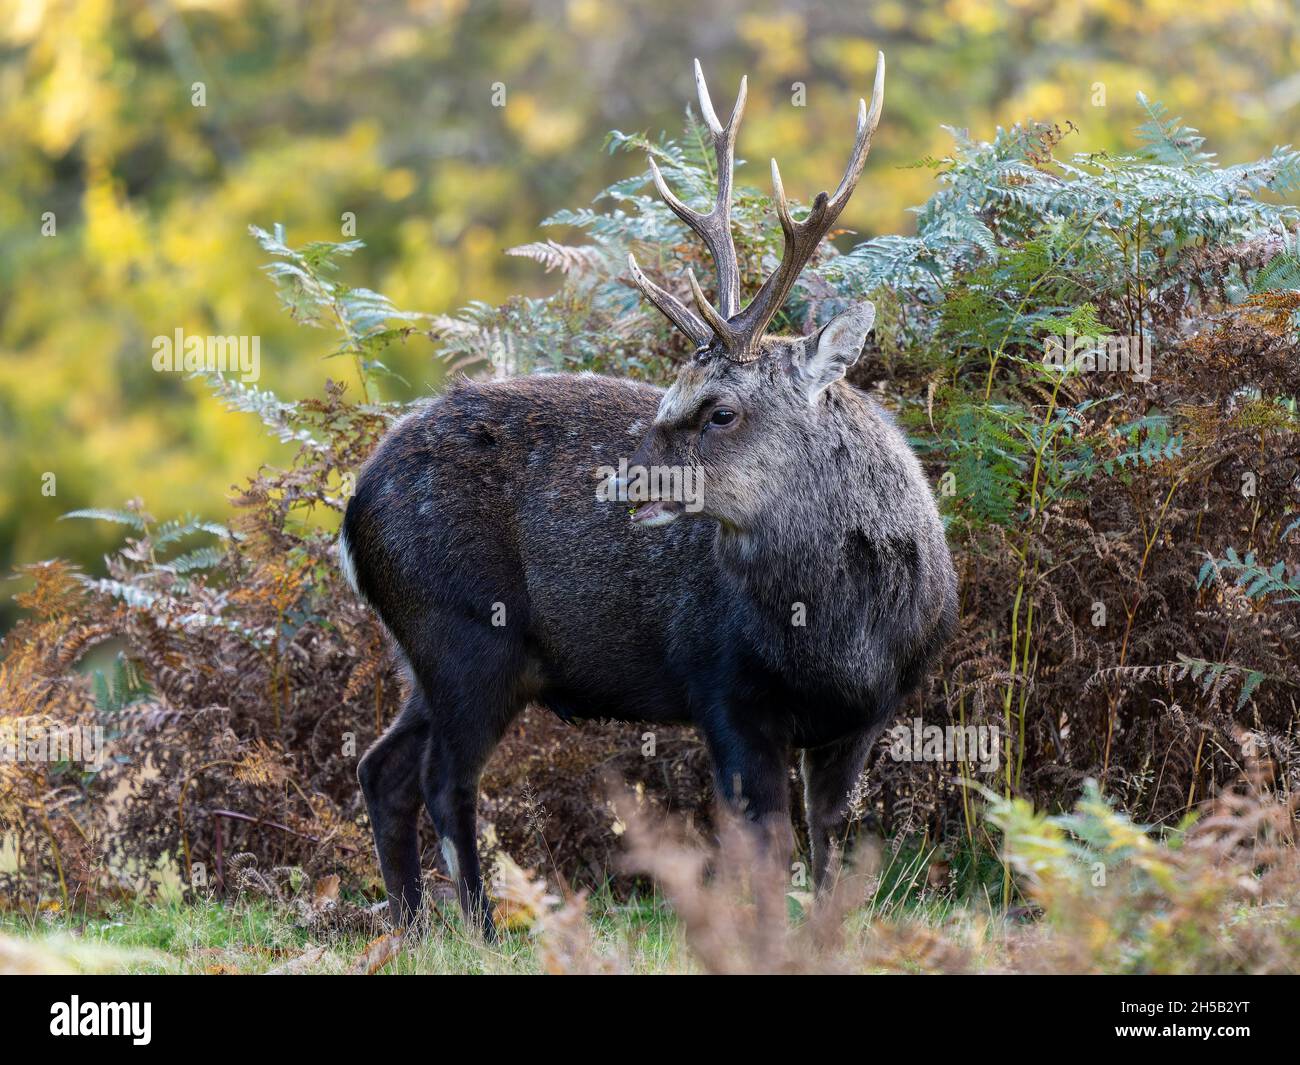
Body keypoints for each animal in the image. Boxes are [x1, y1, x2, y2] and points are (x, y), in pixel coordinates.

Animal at [341, 53, 957, 939]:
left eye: (719, 410)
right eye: (667, 394)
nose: (621, 481)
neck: (839, 636)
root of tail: (353, 513)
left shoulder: (872, 710)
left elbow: (830, 840)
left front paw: (824, 934)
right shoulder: (721, 684)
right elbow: (764, 842)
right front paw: (763, 937)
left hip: (427, 651)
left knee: (381, 766)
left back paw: (411, 923)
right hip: (460, 628)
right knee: (440, 779)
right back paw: (482, 930)